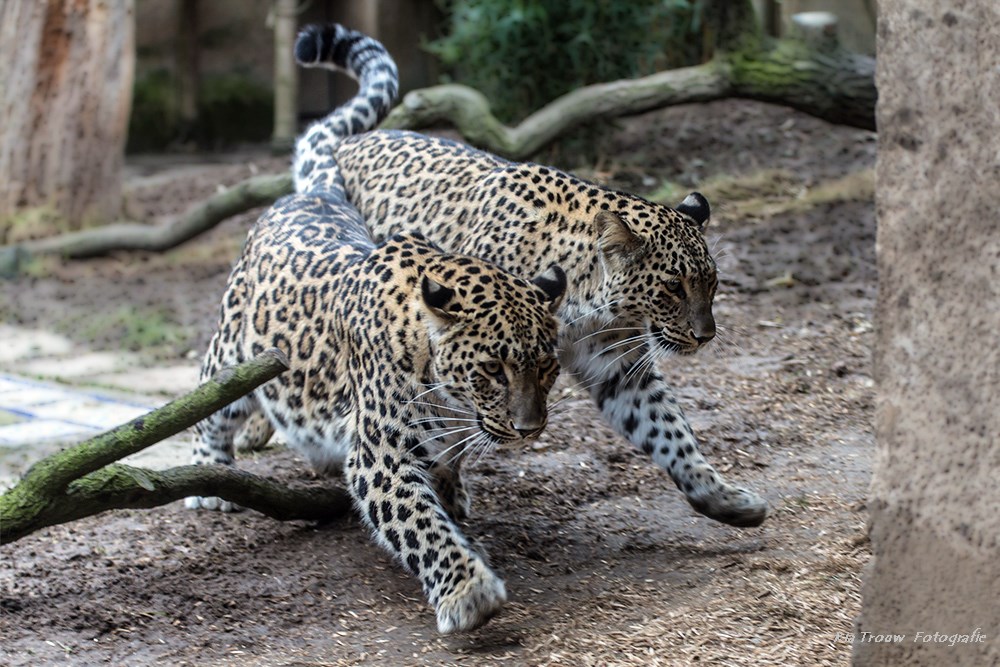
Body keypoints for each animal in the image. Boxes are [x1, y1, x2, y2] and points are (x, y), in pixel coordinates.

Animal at [184, 179, 568, 636]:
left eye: (545, 365)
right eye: (493, 368)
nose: (529, 428)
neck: (450, 399)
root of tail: (311, 193)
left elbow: (441, 486)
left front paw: (459, 520)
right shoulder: (380, 456)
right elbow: (420, 523)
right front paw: (466, 590)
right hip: (232, 351)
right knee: (213, 404)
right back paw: (210, 474)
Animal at [292, 23, 768, 528]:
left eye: (712, 283)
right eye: (673, 287)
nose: (705, 335)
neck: (586, 300)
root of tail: (347, 142)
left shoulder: (618, 369)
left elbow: (670, 430)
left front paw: (724, 498)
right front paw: (445, 491)